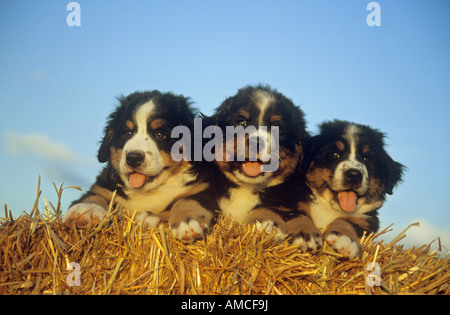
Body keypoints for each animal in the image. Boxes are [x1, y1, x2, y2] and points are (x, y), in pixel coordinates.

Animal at [63, 91, 216, 242]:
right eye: (128, 133)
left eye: (160, 134)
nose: (133, 158)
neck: (148, 192)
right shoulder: (105, 187)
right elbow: (93, 196)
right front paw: (85, 209)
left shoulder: (203, 187)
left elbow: (185, 199)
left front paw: (186, 220)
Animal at [288, 120, 404, 260]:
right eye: (334, 154)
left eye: (366, 158)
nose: (354, 175)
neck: (329, 209)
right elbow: (296, 213)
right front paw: (306, 234)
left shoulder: (365, 218)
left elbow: (347, 222)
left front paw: (345, 239)